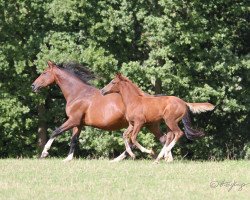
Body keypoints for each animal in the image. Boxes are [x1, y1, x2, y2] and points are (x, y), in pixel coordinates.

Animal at [31, 61, 174, 162]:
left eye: (44, 73)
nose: (33, 86)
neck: (78, 94)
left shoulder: (73, 120)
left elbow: (55, 132)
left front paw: (44, 153)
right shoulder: (78, 124)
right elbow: (74, 140)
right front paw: (68, 159)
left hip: (144, 125)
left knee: (144, 141)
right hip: (149, 125)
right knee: (162, 138)